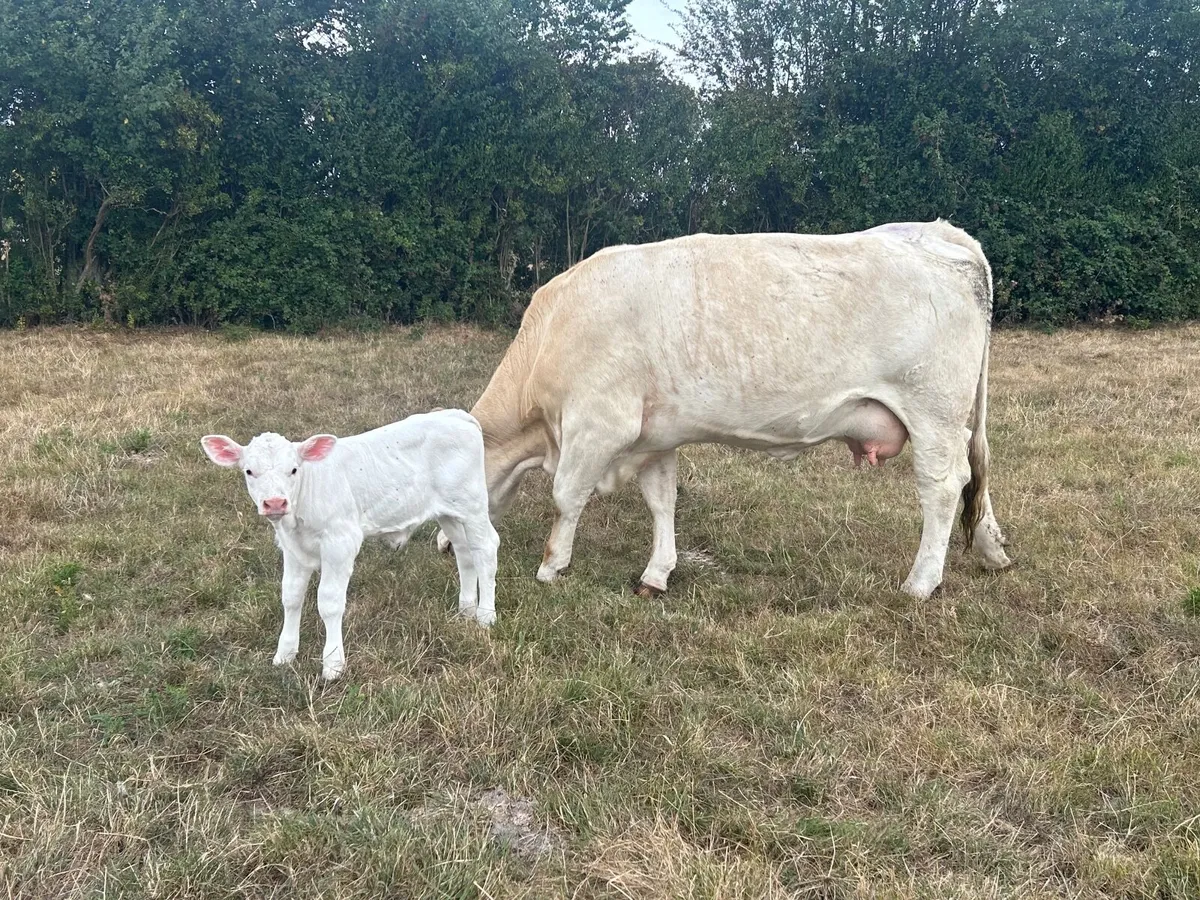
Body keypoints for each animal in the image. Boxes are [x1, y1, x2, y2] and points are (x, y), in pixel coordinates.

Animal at [202, 409, 499, 681]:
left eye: (294, 470)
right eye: (249, 471)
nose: (275, 503)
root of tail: (456, 415)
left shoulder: (340, 542)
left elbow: (329, 602)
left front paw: (333, 664)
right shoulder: (293, 549)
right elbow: (291, 596)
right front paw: (284, 654)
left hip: (472, 505)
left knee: (486, 548)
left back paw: (485, 615)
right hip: (448, 512)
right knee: (464, 552)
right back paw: (466, 609)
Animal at [438, 220, 1012, 599]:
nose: (444, 545)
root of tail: (940, 230)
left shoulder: (599, 424)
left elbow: (565, 497)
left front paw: (552, 565)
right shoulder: (655, 435)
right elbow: (662, 502)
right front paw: (656, 574)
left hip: (932, 412)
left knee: (943, 488)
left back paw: (920, 583)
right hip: (947, 420)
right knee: (971, 473)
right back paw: (992, 549)